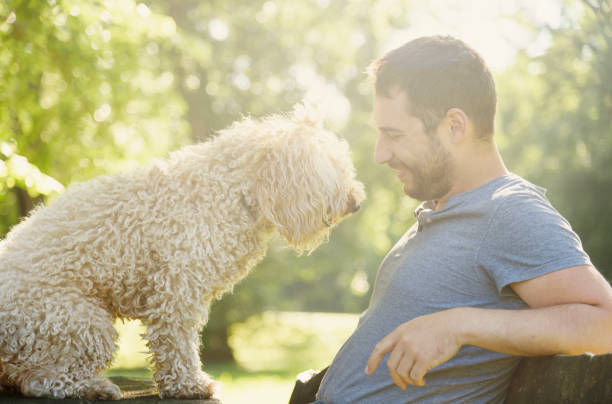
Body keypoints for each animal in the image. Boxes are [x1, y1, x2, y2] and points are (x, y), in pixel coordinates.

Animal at [0, 103, 364, 398]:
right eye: (330, 166)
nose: (357, 202)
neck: (231, 192)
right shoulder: (177, 291)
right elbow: (178, 345)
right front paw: (189, 384)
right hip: (82, 321)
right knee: (40, 380)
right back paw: (93, 387)